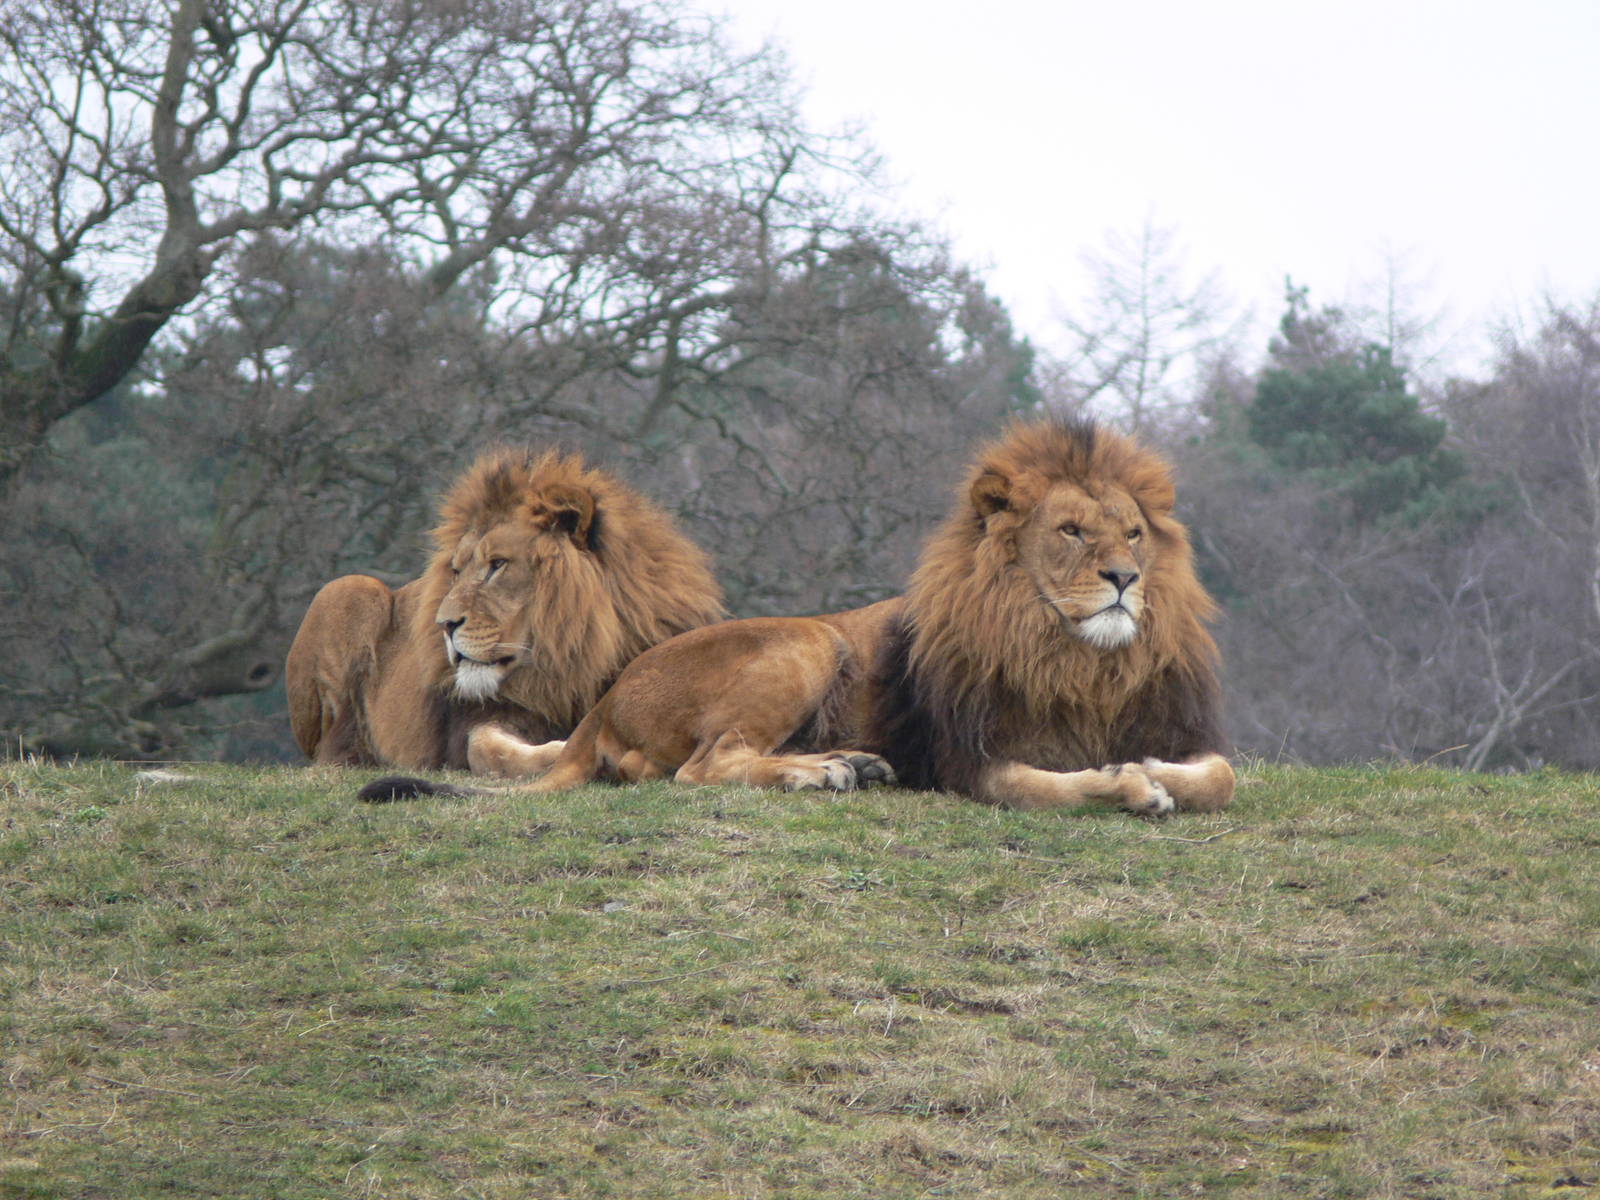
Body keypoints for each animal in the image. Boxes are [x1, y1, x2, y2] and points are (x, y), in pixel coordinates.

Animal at [286, 446, 725, 772]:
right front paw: (560, 751)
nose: (444, 624)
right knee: (331, 746)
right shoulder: (477, 721)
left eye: (497, 565)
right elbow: (488, 749)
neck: (569, 665)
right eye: (457, 571)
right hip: (347, 588)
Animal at [361, 417, 1232, 815]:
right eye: (1072, 532)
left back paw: (853, 764)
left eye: (1133, 534)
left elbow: (1220, 775)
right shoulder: (971, 761)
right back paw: (823, 771)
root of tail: (606, 697)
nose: (1125, 578)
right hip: (808, 639)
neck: (1083, 661)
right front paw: (1132, 784)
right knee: (703, 767)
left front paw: (1157, 770)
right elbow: (1055, 788)